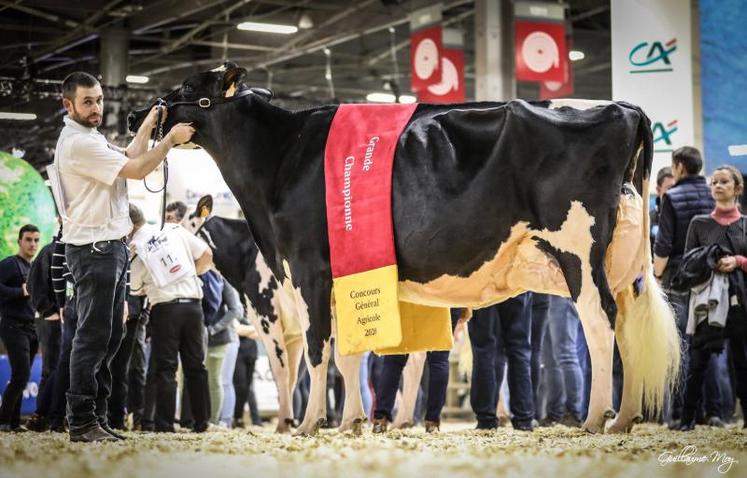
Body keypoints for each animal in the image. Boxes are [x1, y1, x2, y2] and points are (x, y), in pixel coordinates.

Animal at [130, 64, 684, 436]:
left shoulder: (307, 270)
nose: (137, 111)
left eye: (188, 89)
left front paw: (308, 425)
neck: (282, 157)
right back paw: (625, 417)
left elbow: (318, 351)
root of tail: (622, 107)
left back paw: (594, 419)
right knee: (626, 322)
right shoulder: (342, 275)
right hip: (621, 261)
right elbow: (348, 355)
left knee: (598, 321)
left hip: (577, 248)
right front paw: (350, 422)